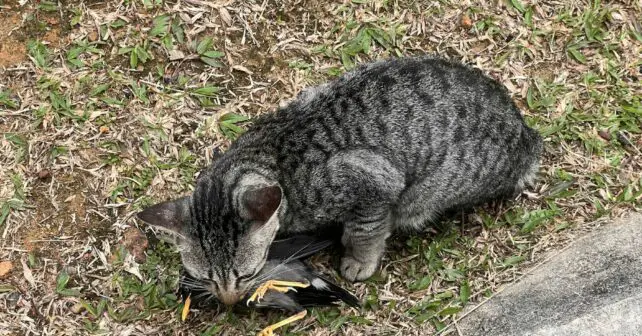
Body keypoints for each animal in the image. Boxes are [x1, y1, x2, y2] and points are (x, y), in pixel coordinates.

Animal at [136, 56, 540, 306]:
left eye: (246, 274)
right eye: (204, 278)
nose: (230, 301)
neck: (273, 156)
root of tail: (527, 135)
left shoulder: (372, 184)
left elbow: (366, 231)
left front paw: (358, 260)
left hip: (427, 192)